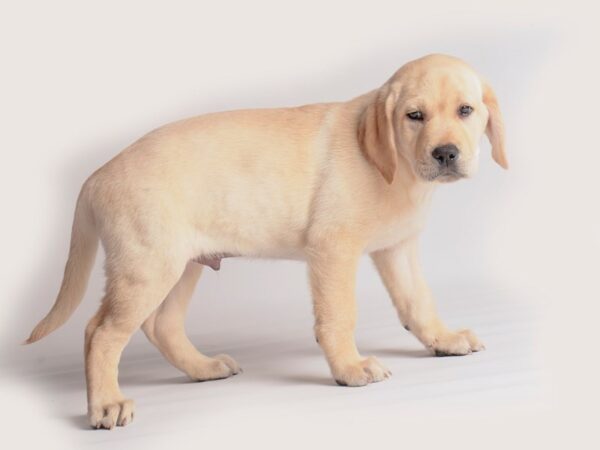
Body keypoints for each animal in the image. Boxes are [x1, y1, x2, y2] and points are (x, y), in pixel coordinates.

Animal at [27, 53, 506, 428]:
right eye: (414, 116)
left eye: (465, 110)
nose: (445, 154)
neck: (396, 167)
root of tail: (98, 175)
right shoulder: (332, 248)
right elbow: (339, 317)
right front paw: (350, 368)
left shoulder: (397, 248)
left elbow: (417, 301)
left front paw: (443, 339)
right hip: (147, 266)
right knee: (101, 331)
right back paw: (106, 405)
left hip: (182, 264)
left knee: (160, 325)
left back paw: (203, 368)